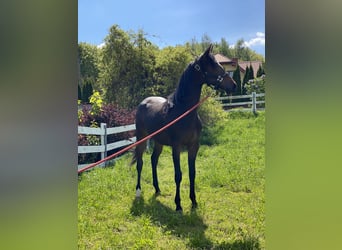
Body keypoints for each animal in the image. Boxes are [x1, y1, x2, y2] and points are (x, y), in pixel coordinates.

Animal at [131, 45, 235, 211]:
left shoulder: (194, 146)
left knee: (154, 160)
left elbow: (192, 173)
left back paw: (157, 188)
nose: (234, 85)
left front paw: (193, 201)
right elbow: (178, 175)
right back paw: (138, 192)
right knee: (140, 163)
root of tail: (143, 102)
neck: (184, 112)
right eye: (213, 66)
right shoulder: (177, 147)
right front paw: (178, 204)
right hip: (141, 138)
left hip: (158, 141)